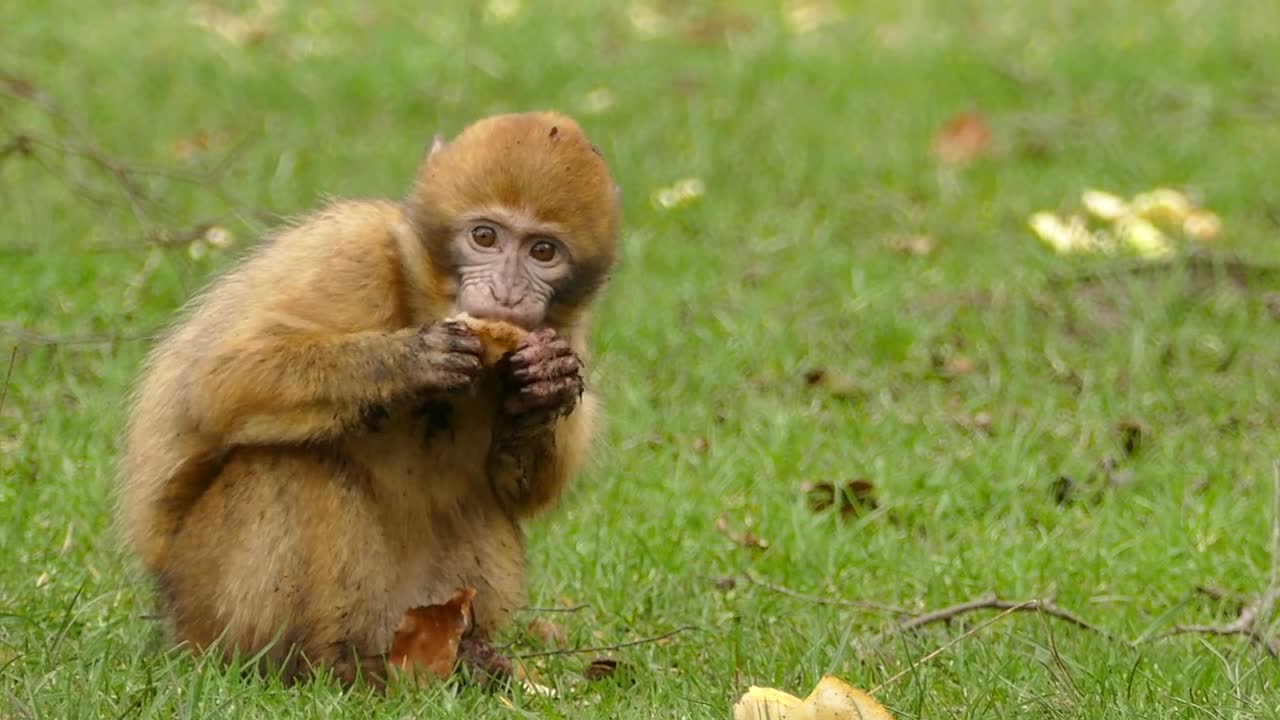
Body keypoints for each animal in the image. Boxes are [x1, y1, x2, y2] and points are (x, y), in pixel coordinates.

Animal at [117, 111, 621, 686]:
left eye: (542, 251)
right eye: (484, 237)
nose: (508, 293)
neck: (422, 294)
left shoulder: (568, 328)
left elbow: (518, 490)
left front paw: (545, 385)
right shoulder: (352, 255)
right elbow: (221, 381)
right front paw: (412, 360)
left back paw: (464, 657)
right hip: (202, 604)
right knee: (284, 466)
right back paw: (318, 668)